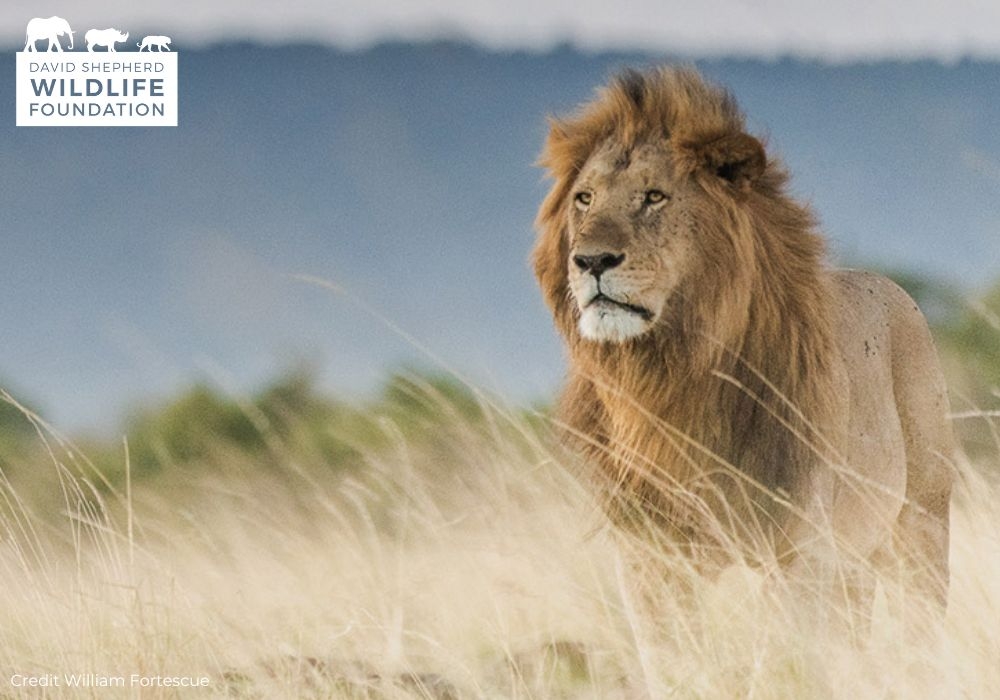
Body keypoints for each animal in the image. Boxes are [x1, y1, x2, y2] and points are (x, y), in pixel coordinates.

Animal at [532, 66, 955, 624]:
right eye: (585, 198)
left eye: (654, 196)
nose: (591, 261)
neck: (670, 373)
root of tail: (894, 288)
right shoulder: (651, 551)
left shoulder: (800, 550)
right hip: (855, 561)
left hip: (921, 527)